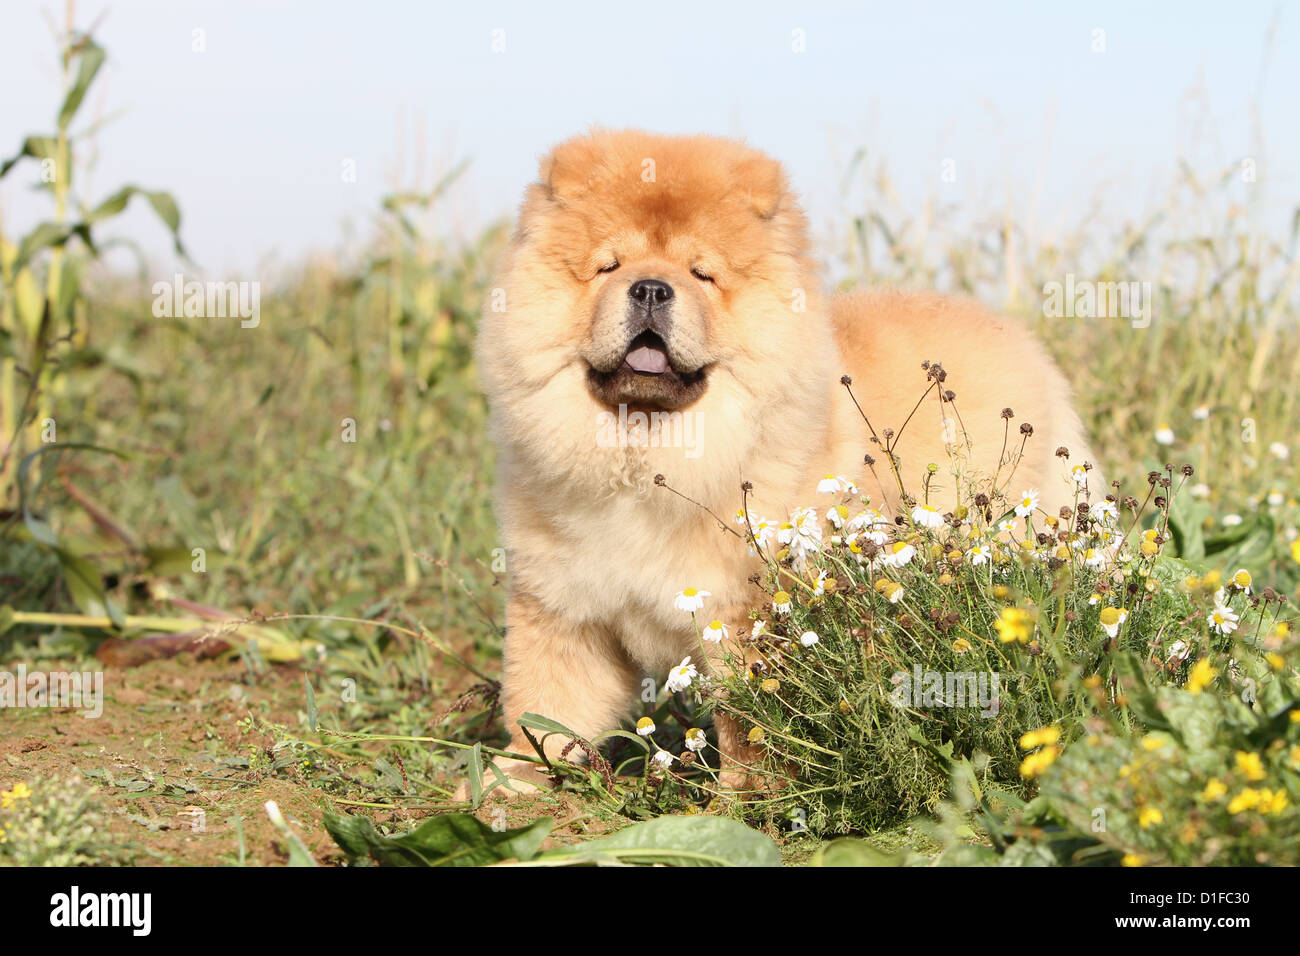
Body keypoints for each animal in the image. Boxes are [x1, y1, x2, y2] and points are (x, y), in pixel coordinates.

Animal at [473, 130, 1102, 796]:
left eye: (702, 273)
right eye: (608, 266)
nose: (649, 289)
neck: (643, 459)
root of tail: (1020, 341)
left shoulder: (746, 611)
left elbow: (750, 721)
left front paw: (747, 798)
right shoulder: (564, 610)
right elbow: (544, 711)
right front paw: (505, 787)